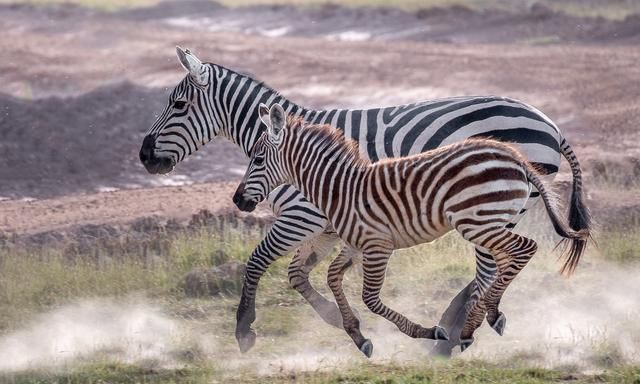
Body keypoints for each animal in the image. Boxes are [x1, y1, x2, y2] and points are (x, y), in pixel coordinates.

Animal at [235, 103, 592, 356]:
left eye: (257, 159)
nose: (238, 200)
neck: (340, 187)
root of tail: (518, 160)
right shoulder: (354, 244)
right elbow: (333, 278)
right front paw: (356, 334)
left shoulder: (378, 245)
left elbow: (370, 297)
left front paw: (425, 332)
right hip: (490, 220)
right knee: (507, 258)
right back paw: (487, 315)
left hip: (478, 222)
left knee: (521, 250)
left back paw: (471, 325)